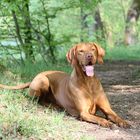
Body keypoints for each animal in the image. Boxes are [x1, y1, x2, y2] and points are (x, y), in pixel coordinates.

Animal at [0, 42, 130, 128]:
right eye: (81, 51)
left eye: (93, 49)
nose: (90, 56)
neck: (88, 82)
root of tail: (34, 78)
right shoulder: (84, 113)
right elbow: (98, 118)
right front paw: (105, 121)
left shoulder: (107, 109)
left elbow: (115, 116)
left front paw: (123, 121)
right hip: (43, 81)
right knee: (37, 100)